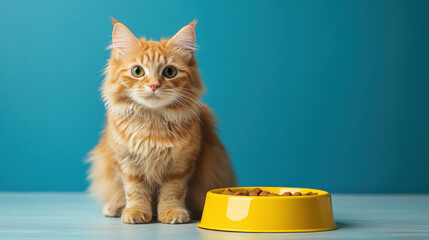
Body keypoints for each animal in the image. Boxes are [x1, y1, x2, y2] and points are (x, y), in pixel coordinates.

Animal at [85, 19, 236, 225]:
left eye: (169, 72)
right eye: (137, 71)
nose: (154, 85)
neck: (152, 120)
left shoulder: (181, 164)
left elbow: (173, 191)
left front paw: (172, 212)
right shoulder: (127, 162)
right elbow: (135, 191)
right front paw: (136, 212)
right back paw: (114, 208)